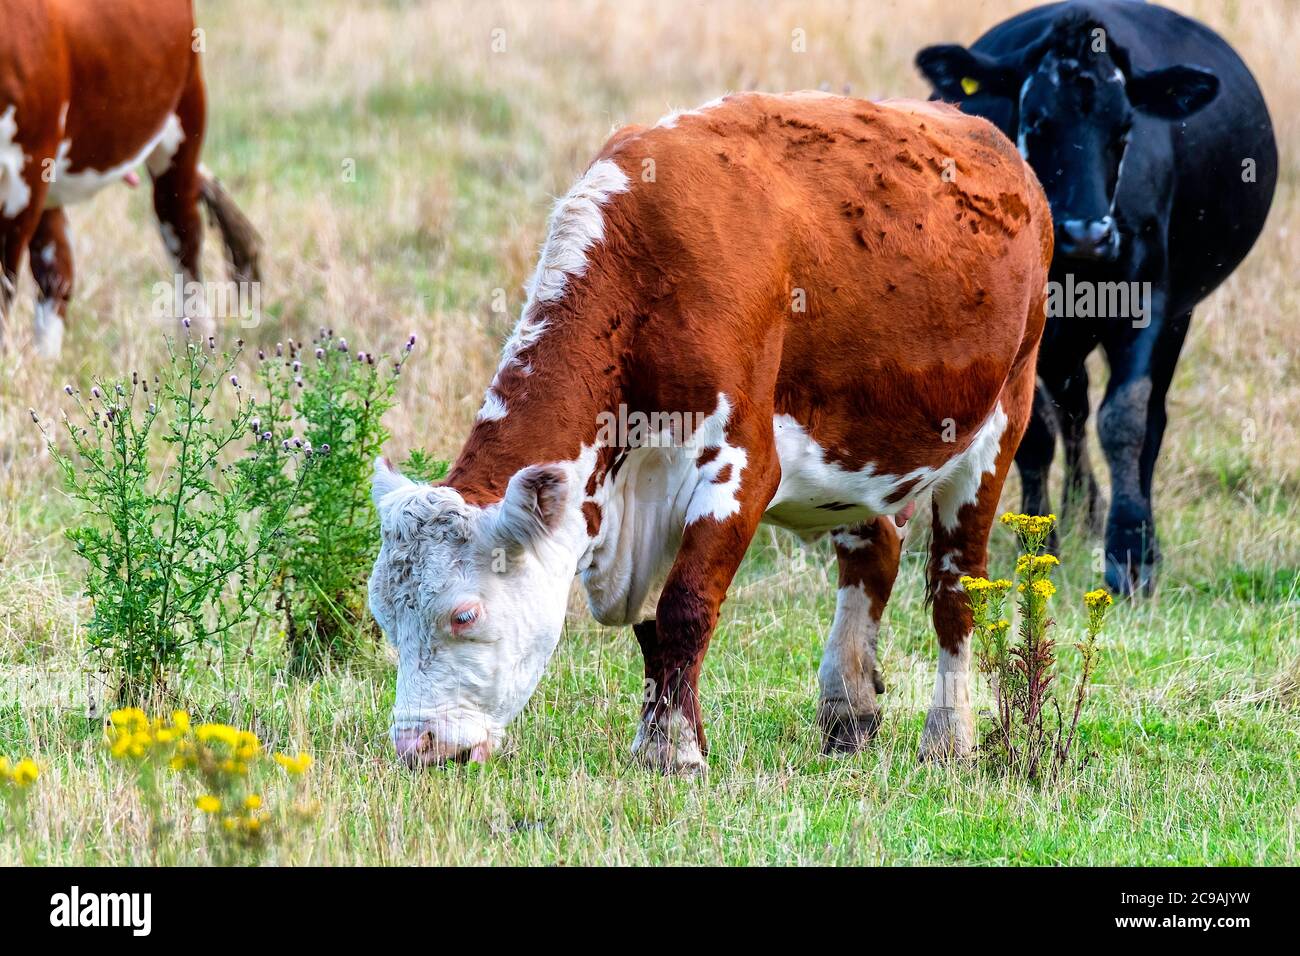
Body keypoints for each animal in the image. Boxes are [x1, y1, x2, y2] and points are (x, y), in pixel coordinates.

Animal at [0, 0, 260, 357]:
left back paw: (197, 350)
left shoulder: (23, 173)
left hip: (183, 118)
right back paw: (45, 364)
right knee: (57, 271)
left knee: (184, 241)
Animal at [368, 91, 1053, 773]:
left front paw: (673, 747)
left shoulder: (743, 466)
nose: (415, 743)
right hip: (857, 449)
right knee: (874, 554)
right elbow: (652, 627)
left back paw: (949, 735)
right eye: (382, 613)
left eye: (464, 614)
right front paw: (664, 737)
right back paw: (848, 712)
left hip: (1002, 419)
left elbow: (684, 608)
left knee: (957, 583)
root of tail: (989, 138)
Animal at [916, 1, 1277, 594]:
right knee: (1074, 408)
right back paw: (1080, 512)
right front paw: (1038, 540)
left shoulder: (1148, 299)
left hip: (1177, 315)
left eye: (1125, 129)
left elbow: (1125, 419)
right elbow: (1037, 431)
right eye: (1036, 122)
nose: (1086, 232)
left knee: (1144, 417)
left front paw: (1130, 554)